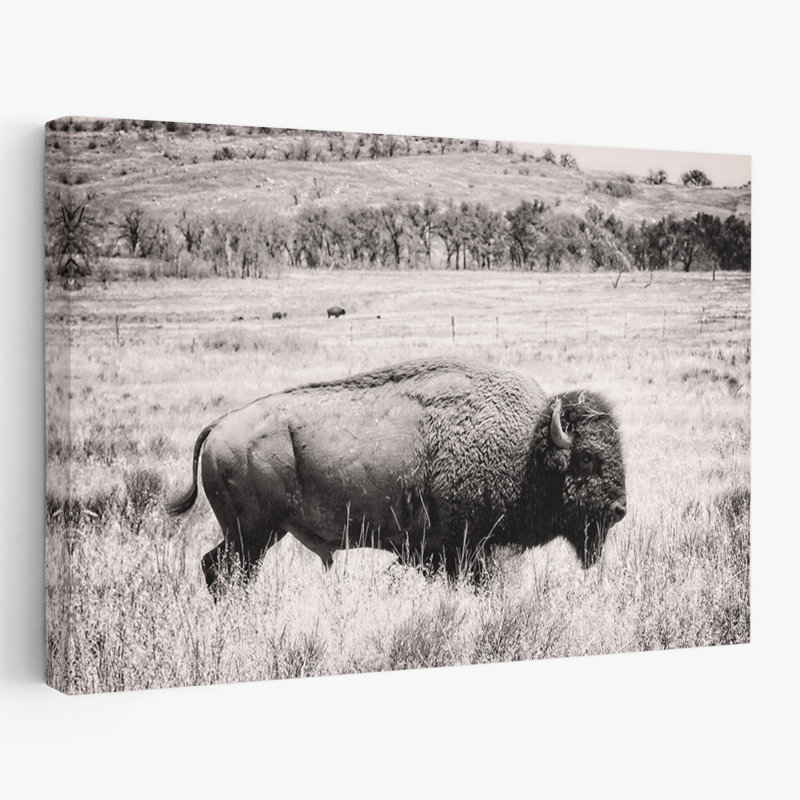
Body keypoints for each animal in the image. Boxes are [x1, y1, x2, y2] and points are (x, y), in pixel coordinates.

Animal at [167, 358, 626, 595]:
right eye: (588, 459)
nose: (620, 508)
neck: (528, 446)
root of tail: (220, 425)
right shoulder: (464, 550)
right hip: (252, 536)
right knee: (223, 571)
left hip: (256, 535)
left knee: (214, 566)